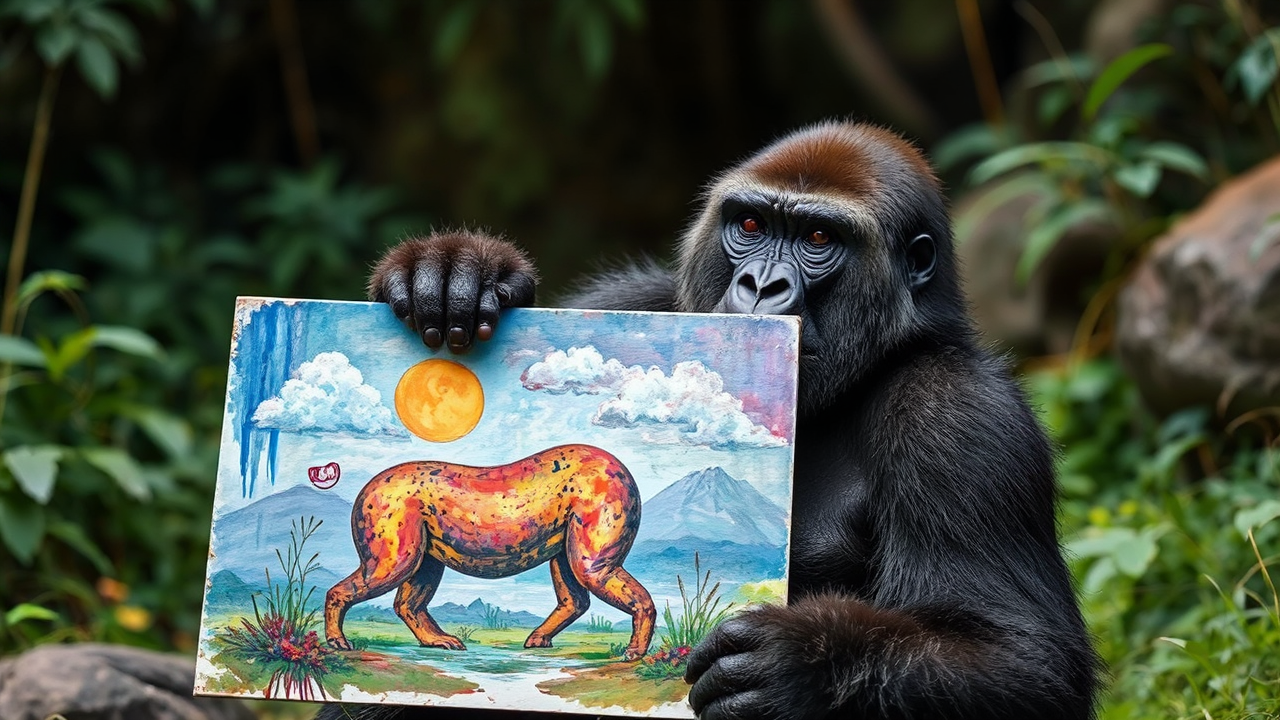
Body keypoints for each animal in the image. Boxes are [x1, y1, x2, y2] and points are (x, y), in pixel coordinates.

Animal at [317, 121, 1099, 720]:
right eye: (750, 225)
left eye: (818, 238)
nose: (761, 285)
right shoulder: (637, 298)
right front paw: (459, 271)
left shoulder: (965, 419)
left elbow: (1021, 660)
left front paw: (797, 664)